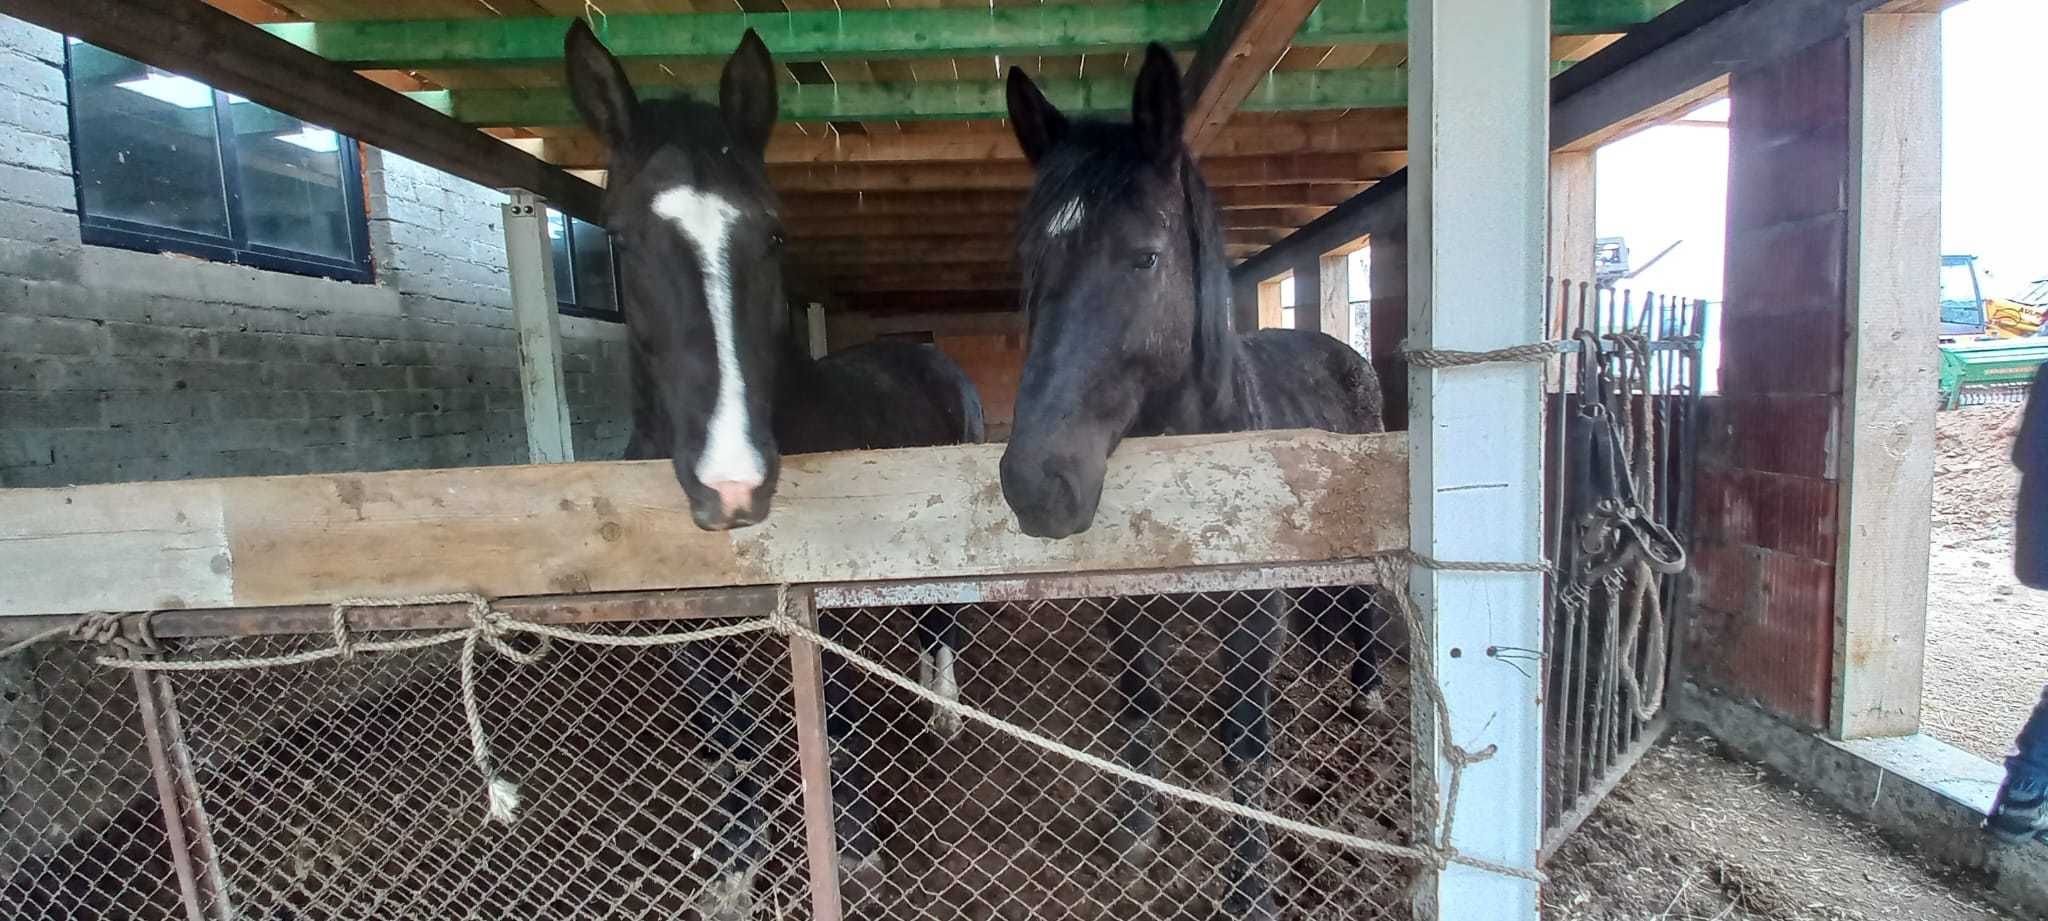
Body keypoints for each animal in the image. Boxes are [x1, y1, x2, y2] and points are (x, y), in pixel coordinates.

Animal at [557, 23, 978, 921]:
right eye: (619, 237)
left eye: (775, 235)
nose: (732, 484)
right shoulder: (697, 635)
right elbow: (735, 740)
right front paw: (735, 865)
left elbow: (836, 724)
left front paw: (854, 844)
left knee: (940, 621)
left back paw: (942, 707)